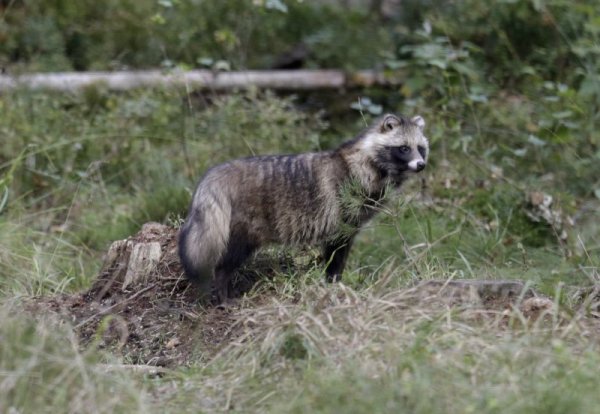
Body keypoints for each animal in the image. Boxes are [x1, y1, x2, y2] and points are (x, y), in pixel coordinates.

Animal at [176, 115, 428, 302]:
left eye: (420, 148)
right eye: (404, 148)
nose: (421, 165)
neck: (369, 162)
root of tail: (216, 175)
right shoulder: (342, 216)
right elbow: (335, 255)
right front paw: (332, 283)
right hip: (244, 226)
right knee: (225, 261)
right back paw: (222, 293)